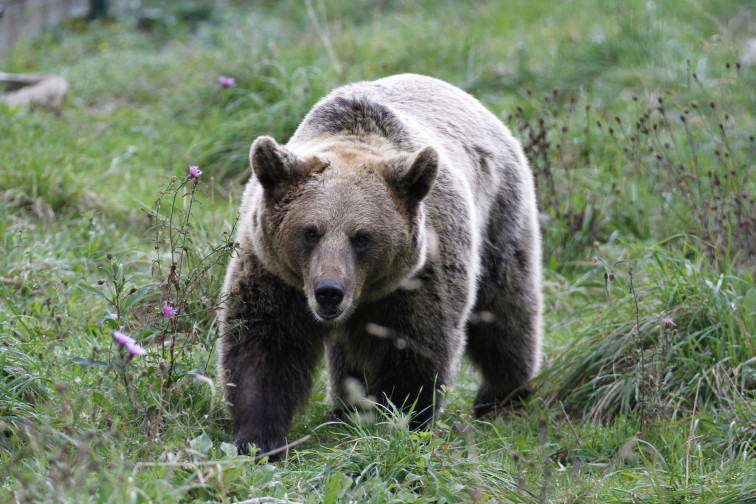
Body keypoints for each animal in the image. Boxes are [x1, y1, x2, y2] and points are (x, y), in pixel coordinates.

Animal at [218, 74, 542, 456]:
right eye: (310, 232)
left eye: (362, 237)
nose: (329, 292)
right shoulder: (274, 273)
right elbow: (265, 345)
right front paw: (256, 439)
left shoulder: (420, 276)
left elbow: (415, 349)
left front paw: (399, 422)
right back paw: (344, 408)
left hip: (500, 217)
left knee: (505, 310)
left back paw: (502, 395)